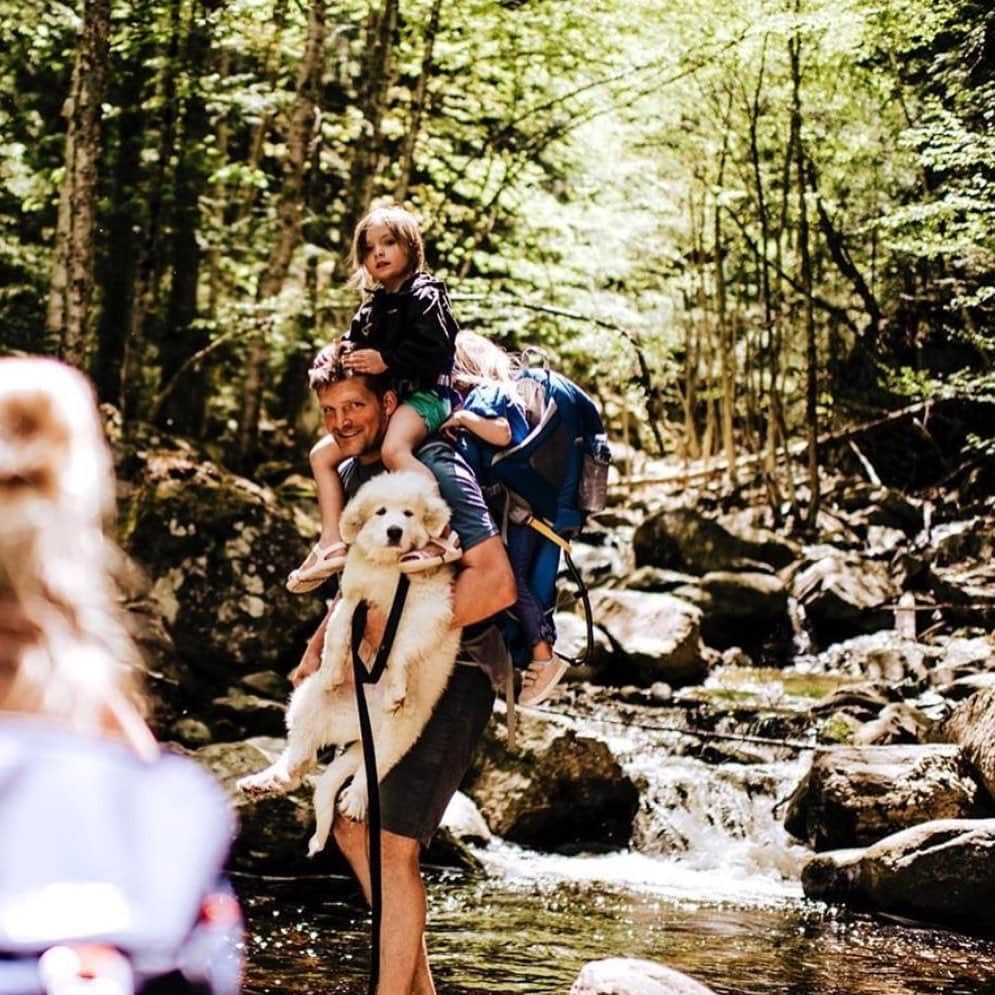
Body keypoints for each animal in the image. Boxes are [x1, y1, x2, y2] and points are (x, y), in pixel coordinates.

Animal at [239, 472, 462, 856]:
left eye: (409, 514)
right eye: (380, 512)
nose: (394, 531)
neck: (387, 568)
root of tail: (361, 726)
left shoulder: (429, 608)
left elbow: (401, 647)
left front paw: (396, 682)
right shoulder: (353, 597)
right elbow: (338, 628)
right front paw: (330, 669)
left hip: (402, 729)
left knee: (373, 768)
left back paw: (355, 798)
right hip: (307, 702)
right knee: (299, 761)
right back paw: (264, 781)